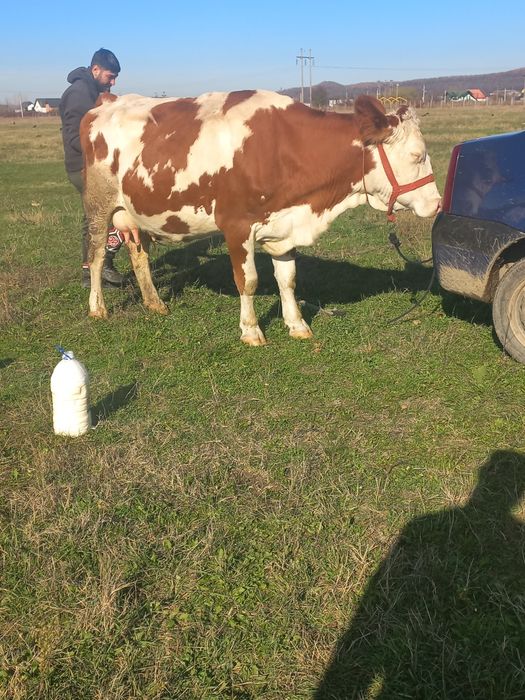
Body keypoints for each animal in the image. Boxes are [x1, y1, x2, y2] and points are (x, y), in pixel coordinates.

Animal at [80, 90, 441, 345]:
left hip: (135, 212)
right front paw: (251, 331)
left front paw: (297, 324)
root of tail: (107, 101)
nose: (437, 204)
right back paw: (97, 308)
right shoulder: (236, 226)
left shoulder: (284, 225)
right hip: (98, 205)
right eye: (417, 155)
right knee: (96, 256)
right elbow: (248, 281)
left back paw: (155, 303)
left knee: (138, 254)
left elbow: (288, 279)